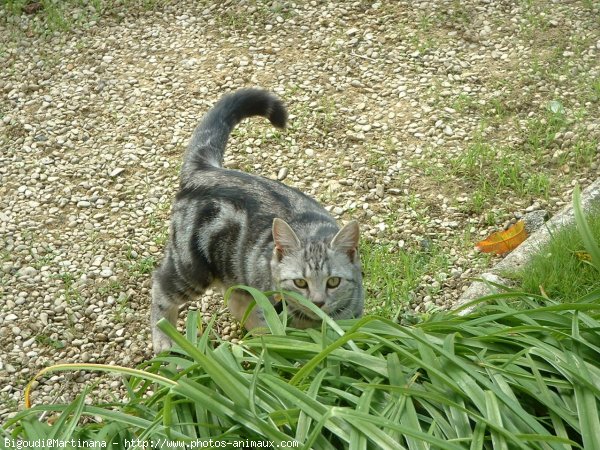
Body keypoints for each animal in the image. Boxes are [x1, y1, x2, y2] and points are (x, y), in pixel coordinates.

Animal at [152, 89, 364, 356]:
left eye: (334, 281)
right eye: (300, 282)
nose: (318, 301)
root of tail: (205, 169)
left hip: (234, 270)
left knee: (236, 300)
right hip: (191, 266)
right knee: (160, 287)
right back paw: (164, 338)